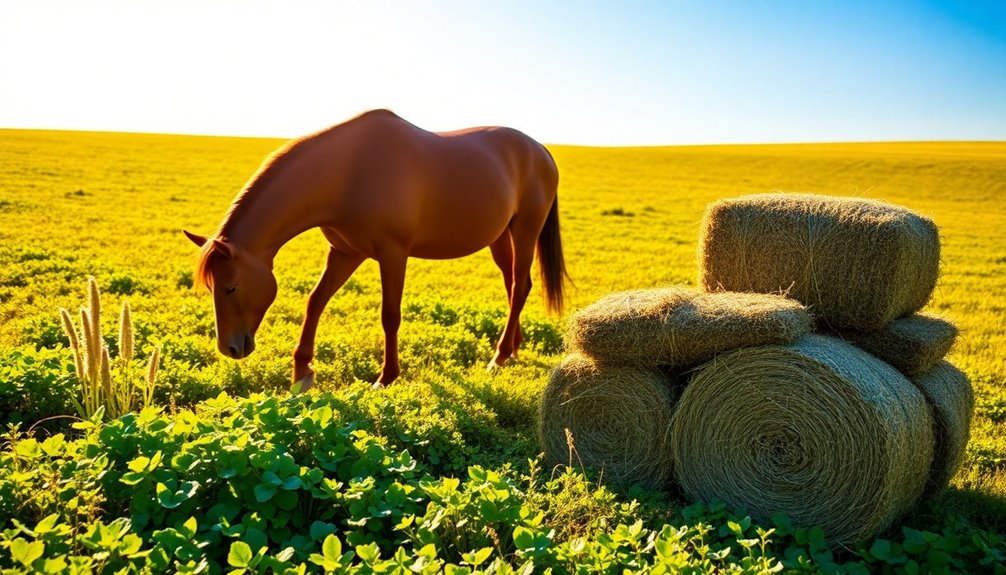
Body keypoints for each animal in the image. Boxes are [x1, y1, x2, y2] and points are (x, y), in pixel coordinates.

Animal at [183, 108, 567, 390]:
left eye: (232, 287)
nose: (230, 348)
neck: (349, 172)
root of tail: (541, 151)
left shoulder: (393, 253)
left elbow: (389, 315)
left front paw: (386, 377)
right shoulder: (344, 253)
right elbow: (315, 302)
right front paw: (302, 372)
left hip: (525, 229)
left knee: (520, 285)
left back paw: (498, 357)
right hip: (499, 236)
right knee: (513, 285)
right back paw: (513, 348)